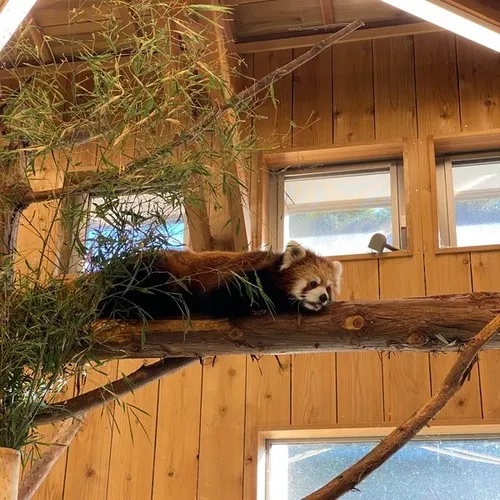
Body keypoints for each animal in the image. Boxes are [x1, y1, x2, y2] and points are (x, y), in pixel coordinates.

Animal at [96, 240, 342, 318]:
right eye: (313, 283)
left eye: (328, 288)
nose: (322, 298)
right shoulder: (245, 277)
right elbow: (220, 299)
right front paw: (255, 307)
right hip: (152, 272)